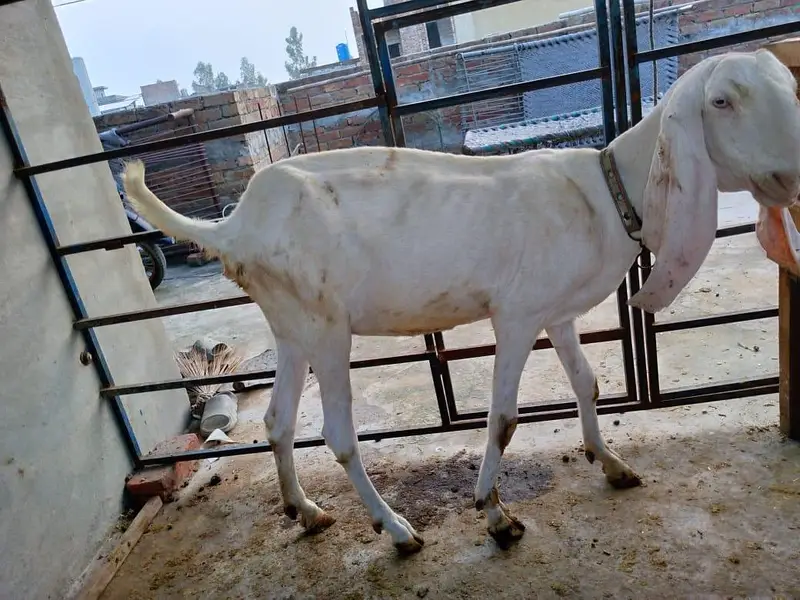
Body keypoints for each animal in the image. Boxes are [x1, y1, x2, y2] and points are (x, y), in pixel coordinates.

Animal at [123, 50, 800, 554]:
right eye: (722, 100)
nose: (793, 171)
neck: (607, 192)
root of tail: (234, 226)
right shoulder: (518, 315)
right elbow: (503, 419)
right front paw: (494, 515)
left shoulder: (557, 313)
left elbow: (587, 383)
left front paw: (610, 463)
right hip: (328, 328)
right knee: (338, 434)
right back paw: (396, 530)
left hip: (293, 326)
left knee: (276, 420)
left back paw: (306, 511)